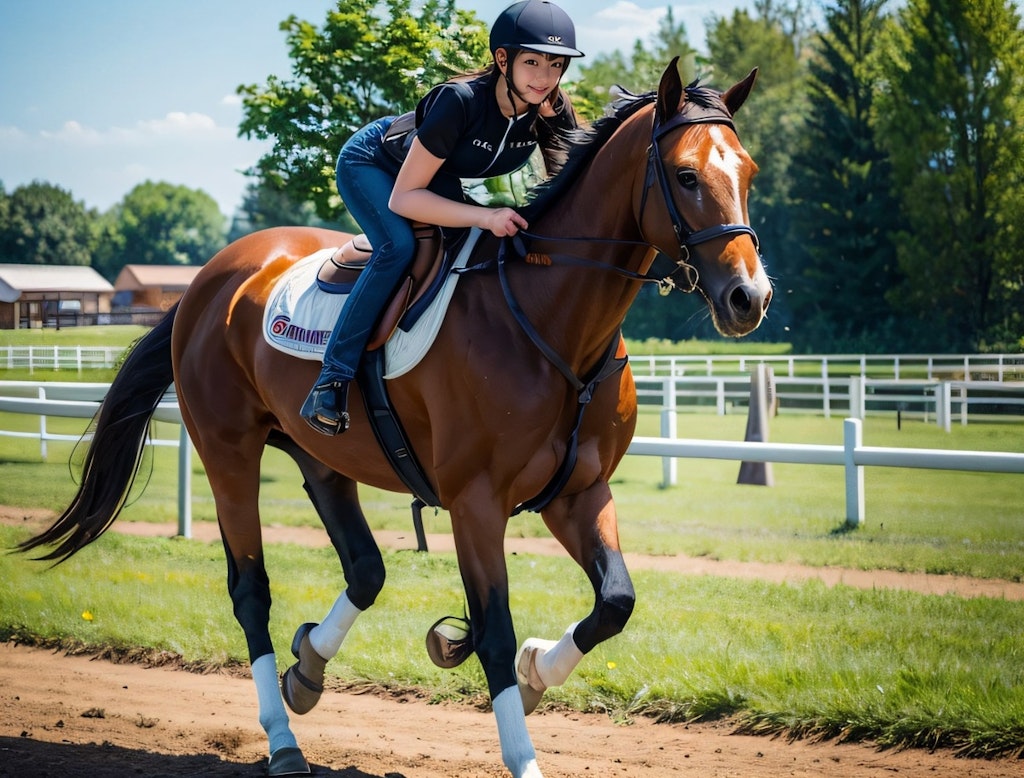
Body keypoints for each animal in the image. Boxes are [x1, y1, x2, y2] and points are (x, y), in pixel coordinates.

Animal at [18, 60, 770, 778]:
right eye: (685, 175)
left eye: (749, 173)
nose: (749, 298)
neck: (553, 323)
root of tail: (209, 279)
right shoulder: (475, 504)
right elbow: (493, 630)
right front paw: (523, 755)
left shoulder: (579, 492)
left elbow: (614, 602)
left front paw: (534, 671)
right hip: (228, 451)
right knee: (251, 592)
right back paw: (283, 742)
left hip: (320, 457)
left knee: (364, 570)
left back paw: (307, 669)